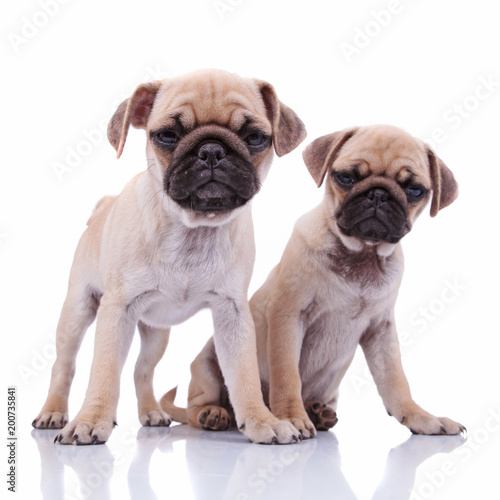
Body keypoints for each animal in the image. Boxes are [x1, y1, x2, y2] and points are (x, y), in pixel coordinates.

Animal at [32, 67, 304, 446]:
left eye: (254, 138)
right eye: (167, 136)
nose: (212, 150)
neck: (193, 229)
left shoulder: (232, 315)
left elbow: (244, 374)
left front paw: (261, 420)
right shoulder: (115, 311)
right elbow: (103, 371)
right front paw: (91, 420)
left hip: (156, 333)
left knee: (141, 370)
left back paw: (151, 413)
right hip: (77, 311)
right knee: (65, 365)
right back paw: (53, 412)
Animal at [163, 124, 464, 438]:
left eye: (414, 190)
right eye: (346, 178)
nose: (378, 195)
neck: (362, 254)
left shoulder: (381, 332)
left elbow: (397, 382)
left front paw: (422, 417)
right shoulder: (288, 316)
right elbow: (287, 375)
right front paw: (292, 416)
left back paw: (319, 413)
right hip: (207, 364)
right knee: (198, 406)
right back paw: (214, 414)